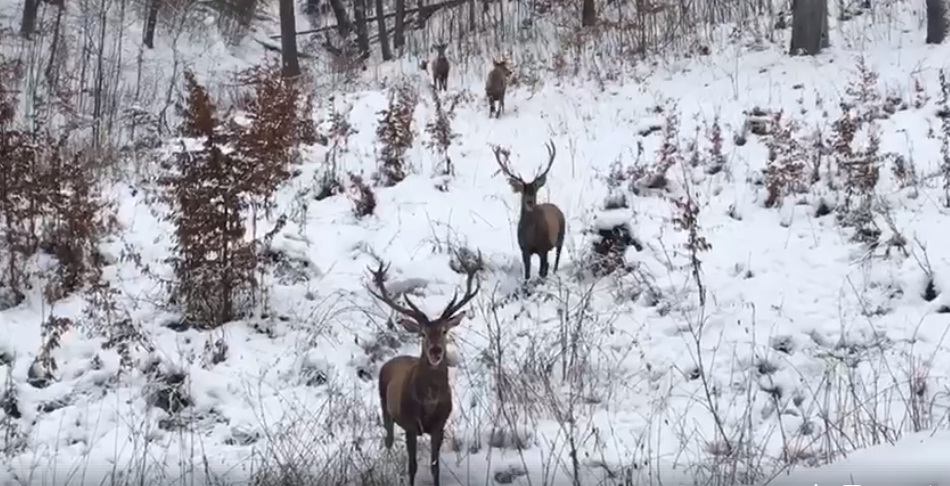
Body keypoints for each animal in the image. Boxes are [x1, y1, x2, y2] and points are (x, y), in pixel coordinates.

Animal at [366, 258, 480, 486]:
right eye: (423, 333)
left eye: (444, 331)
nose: (436, 351)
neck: (429, 402)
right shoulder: (410, 425)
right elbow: (412, 466)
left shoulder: (439, 427)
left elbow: (435, 467)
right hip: (385, 405)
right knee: (388, 439)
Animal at [494, 139, 560, 280]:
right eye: (523, 191)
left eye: (535, 190)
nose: (529, 201)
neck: (532, 235)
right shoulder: (524, 248)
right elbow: (527, 273)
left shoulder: (543, 248)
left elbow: (541, 270)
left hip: (560, 237)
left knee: (555, 259)